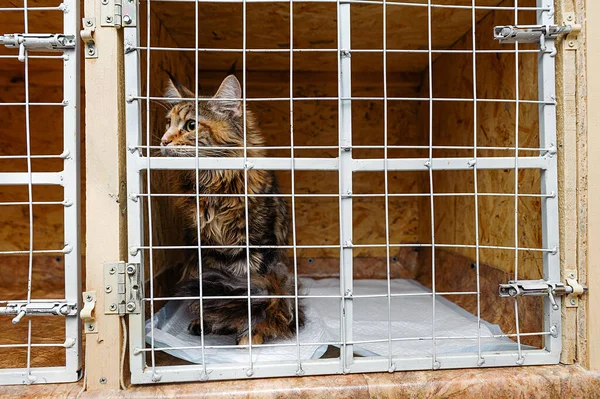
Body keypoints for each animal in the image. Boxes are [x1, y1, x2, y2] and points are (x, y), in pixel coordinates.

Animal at [161, 72, 304, 346]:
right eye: (168, 124)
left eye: (191, 126)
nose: (163, 141)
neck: (212, 184)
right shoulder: (207, 249)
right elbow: (215, 288)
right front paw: (211, 320)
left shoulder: (257, 245)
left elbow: (253, 293)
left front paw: (252, 334)